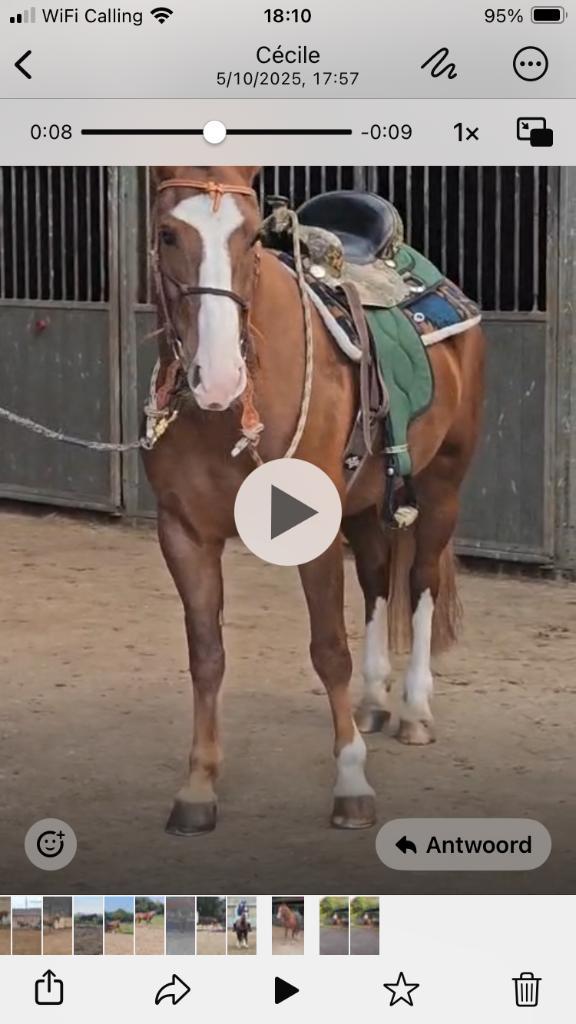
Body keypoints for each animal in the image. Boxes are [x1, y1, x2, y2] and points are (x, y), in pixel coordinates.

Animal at [143, 165, 486, 835]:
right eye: (168, 233)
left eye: (252, 238)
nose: (217, 379)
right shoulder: (184, 535)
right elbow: (207, 655)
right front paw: (198, 787)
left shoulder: (314, 532)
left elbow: (328, 651)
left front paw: (351, 783)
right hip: (366, 506)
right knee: (378, 581)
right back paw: (374, 703)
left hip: (443, 485)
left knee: (423, 584)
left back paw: (413, 711)